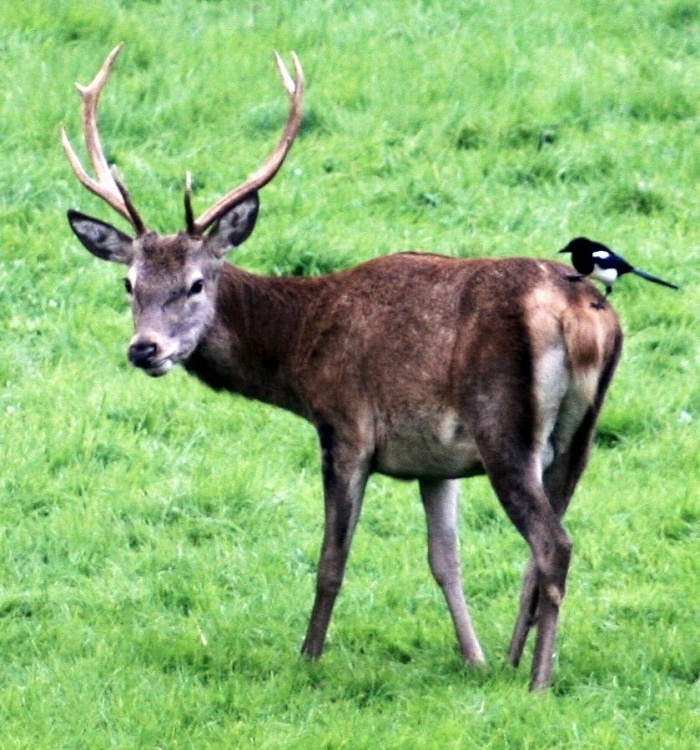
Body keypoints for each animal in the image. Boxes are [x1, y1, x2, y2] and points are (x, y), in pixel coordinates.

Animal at [63, 45, 620, 692]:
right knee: (543, 548)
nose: (144, 349)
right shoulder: (436, 461)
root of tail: (585, 318)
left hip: (503, 424)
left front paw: (307, 656)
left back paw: (538, 682)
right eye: (130, 284)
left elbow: (332, 558)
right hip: (579, 437)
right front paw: (474, 659)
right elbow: (445, 560)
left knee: (554, 545)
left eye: (196, 283)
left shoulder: (345, 425)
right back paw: (514, 662)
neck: (298, 353)